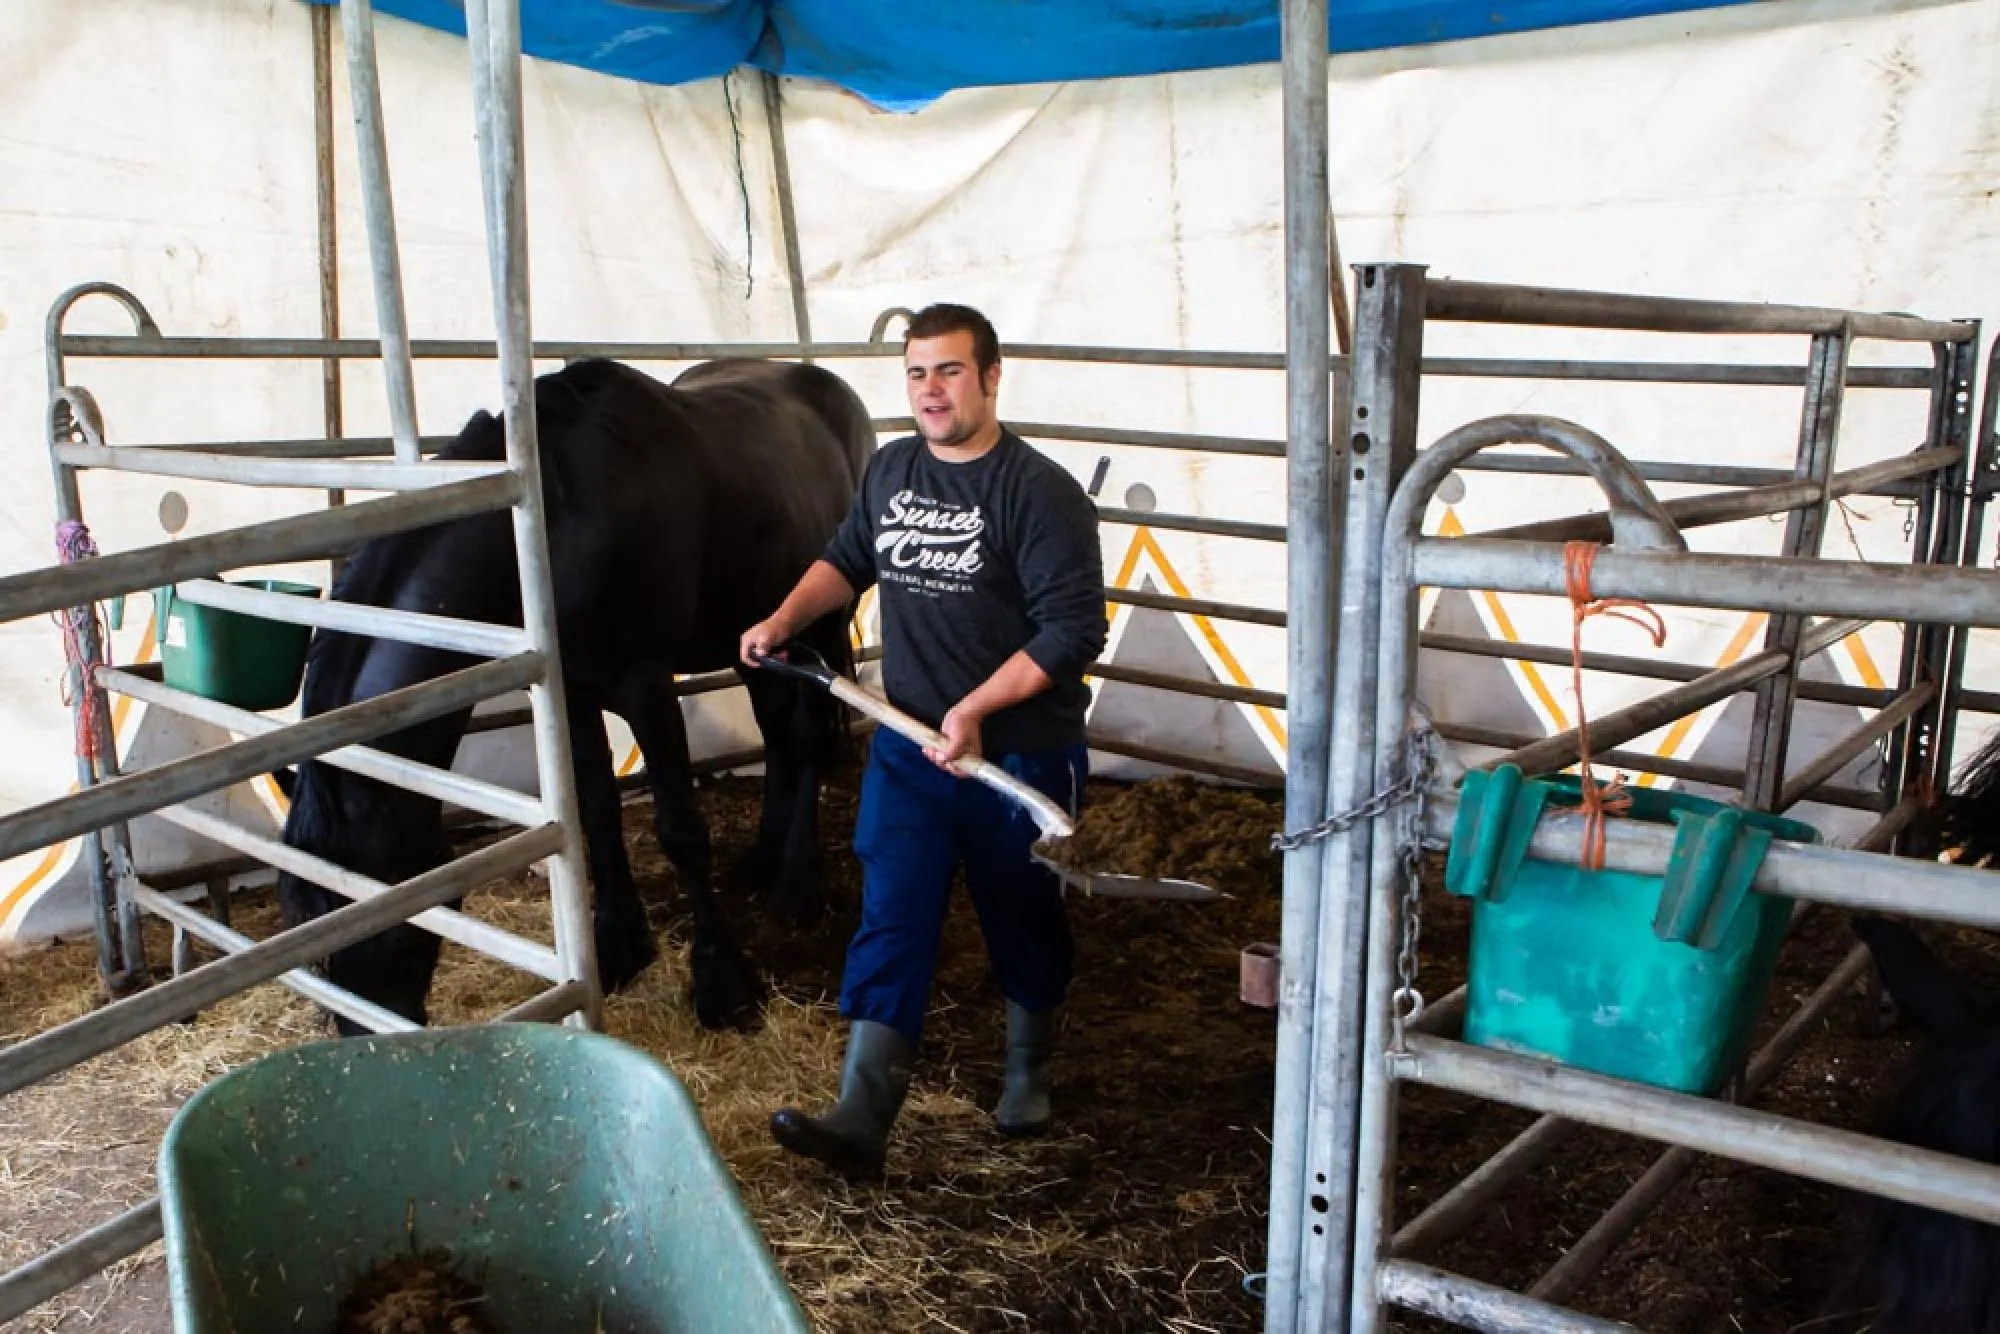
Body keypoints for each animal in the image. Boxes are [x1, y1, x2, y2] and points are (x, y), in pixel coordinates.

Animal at [276, 360, 876, 1040]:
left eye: (375, 916)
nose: (367, 1037)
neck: (550, 528)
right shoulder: (573, 693)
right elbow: (595, 808)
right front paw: (618, 945)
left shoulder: (646, 689)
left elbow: (681, 831)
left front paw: (722, 983)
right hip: (751, 636)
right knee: (775, 730)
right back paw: (763, 856)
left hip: (822, 624)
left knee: (805, 738)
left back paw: (798, 879)